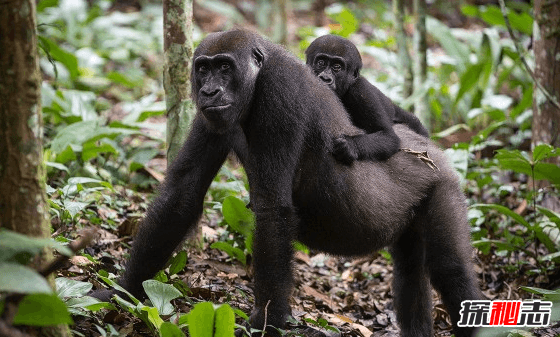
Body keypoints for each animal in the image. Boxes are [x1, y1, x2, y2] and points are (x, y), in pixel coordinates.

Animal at [306, 34, 428, 165]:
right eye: (321, 63)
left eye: (337, 67)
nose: (325, 78)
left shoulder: (361, 91)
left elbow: (388, 136)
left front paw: (350, 145)